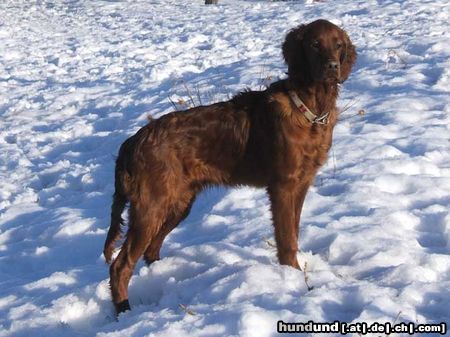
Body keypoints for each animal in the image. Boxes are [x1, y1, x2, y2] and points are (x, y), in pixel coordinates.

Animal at [104, 19, 356, 314]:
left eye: (338, 45)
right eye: (315, 44)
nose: (332, 67)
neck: (309, 109)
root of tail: (132, 142)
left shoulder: (302, 184)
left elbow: (293, 232)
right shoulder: (283, 186)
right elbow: (286, 239)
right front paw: (292, 279)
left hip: (178, 203)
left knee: (150, 251)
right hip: (151, 207)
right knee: (120, 265)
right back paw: (124, 310)